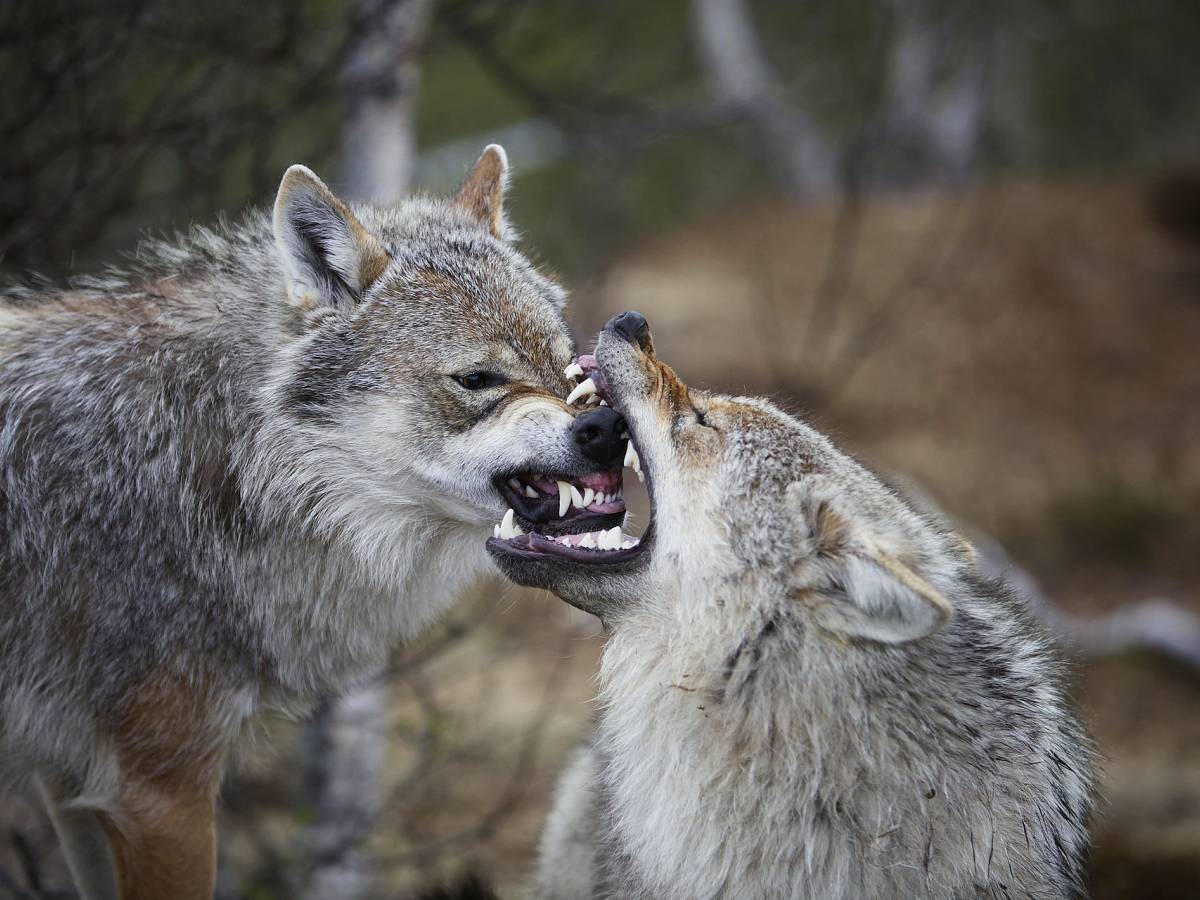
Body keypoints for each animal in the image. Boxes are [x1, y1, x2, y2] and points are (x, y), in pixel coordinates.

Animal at [0, 144, 628, 897]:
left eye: (566, 363)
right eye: (478, 379)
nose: (608, 427)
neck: (224, 464)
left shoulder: (73, 780)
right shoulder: (158, 788)